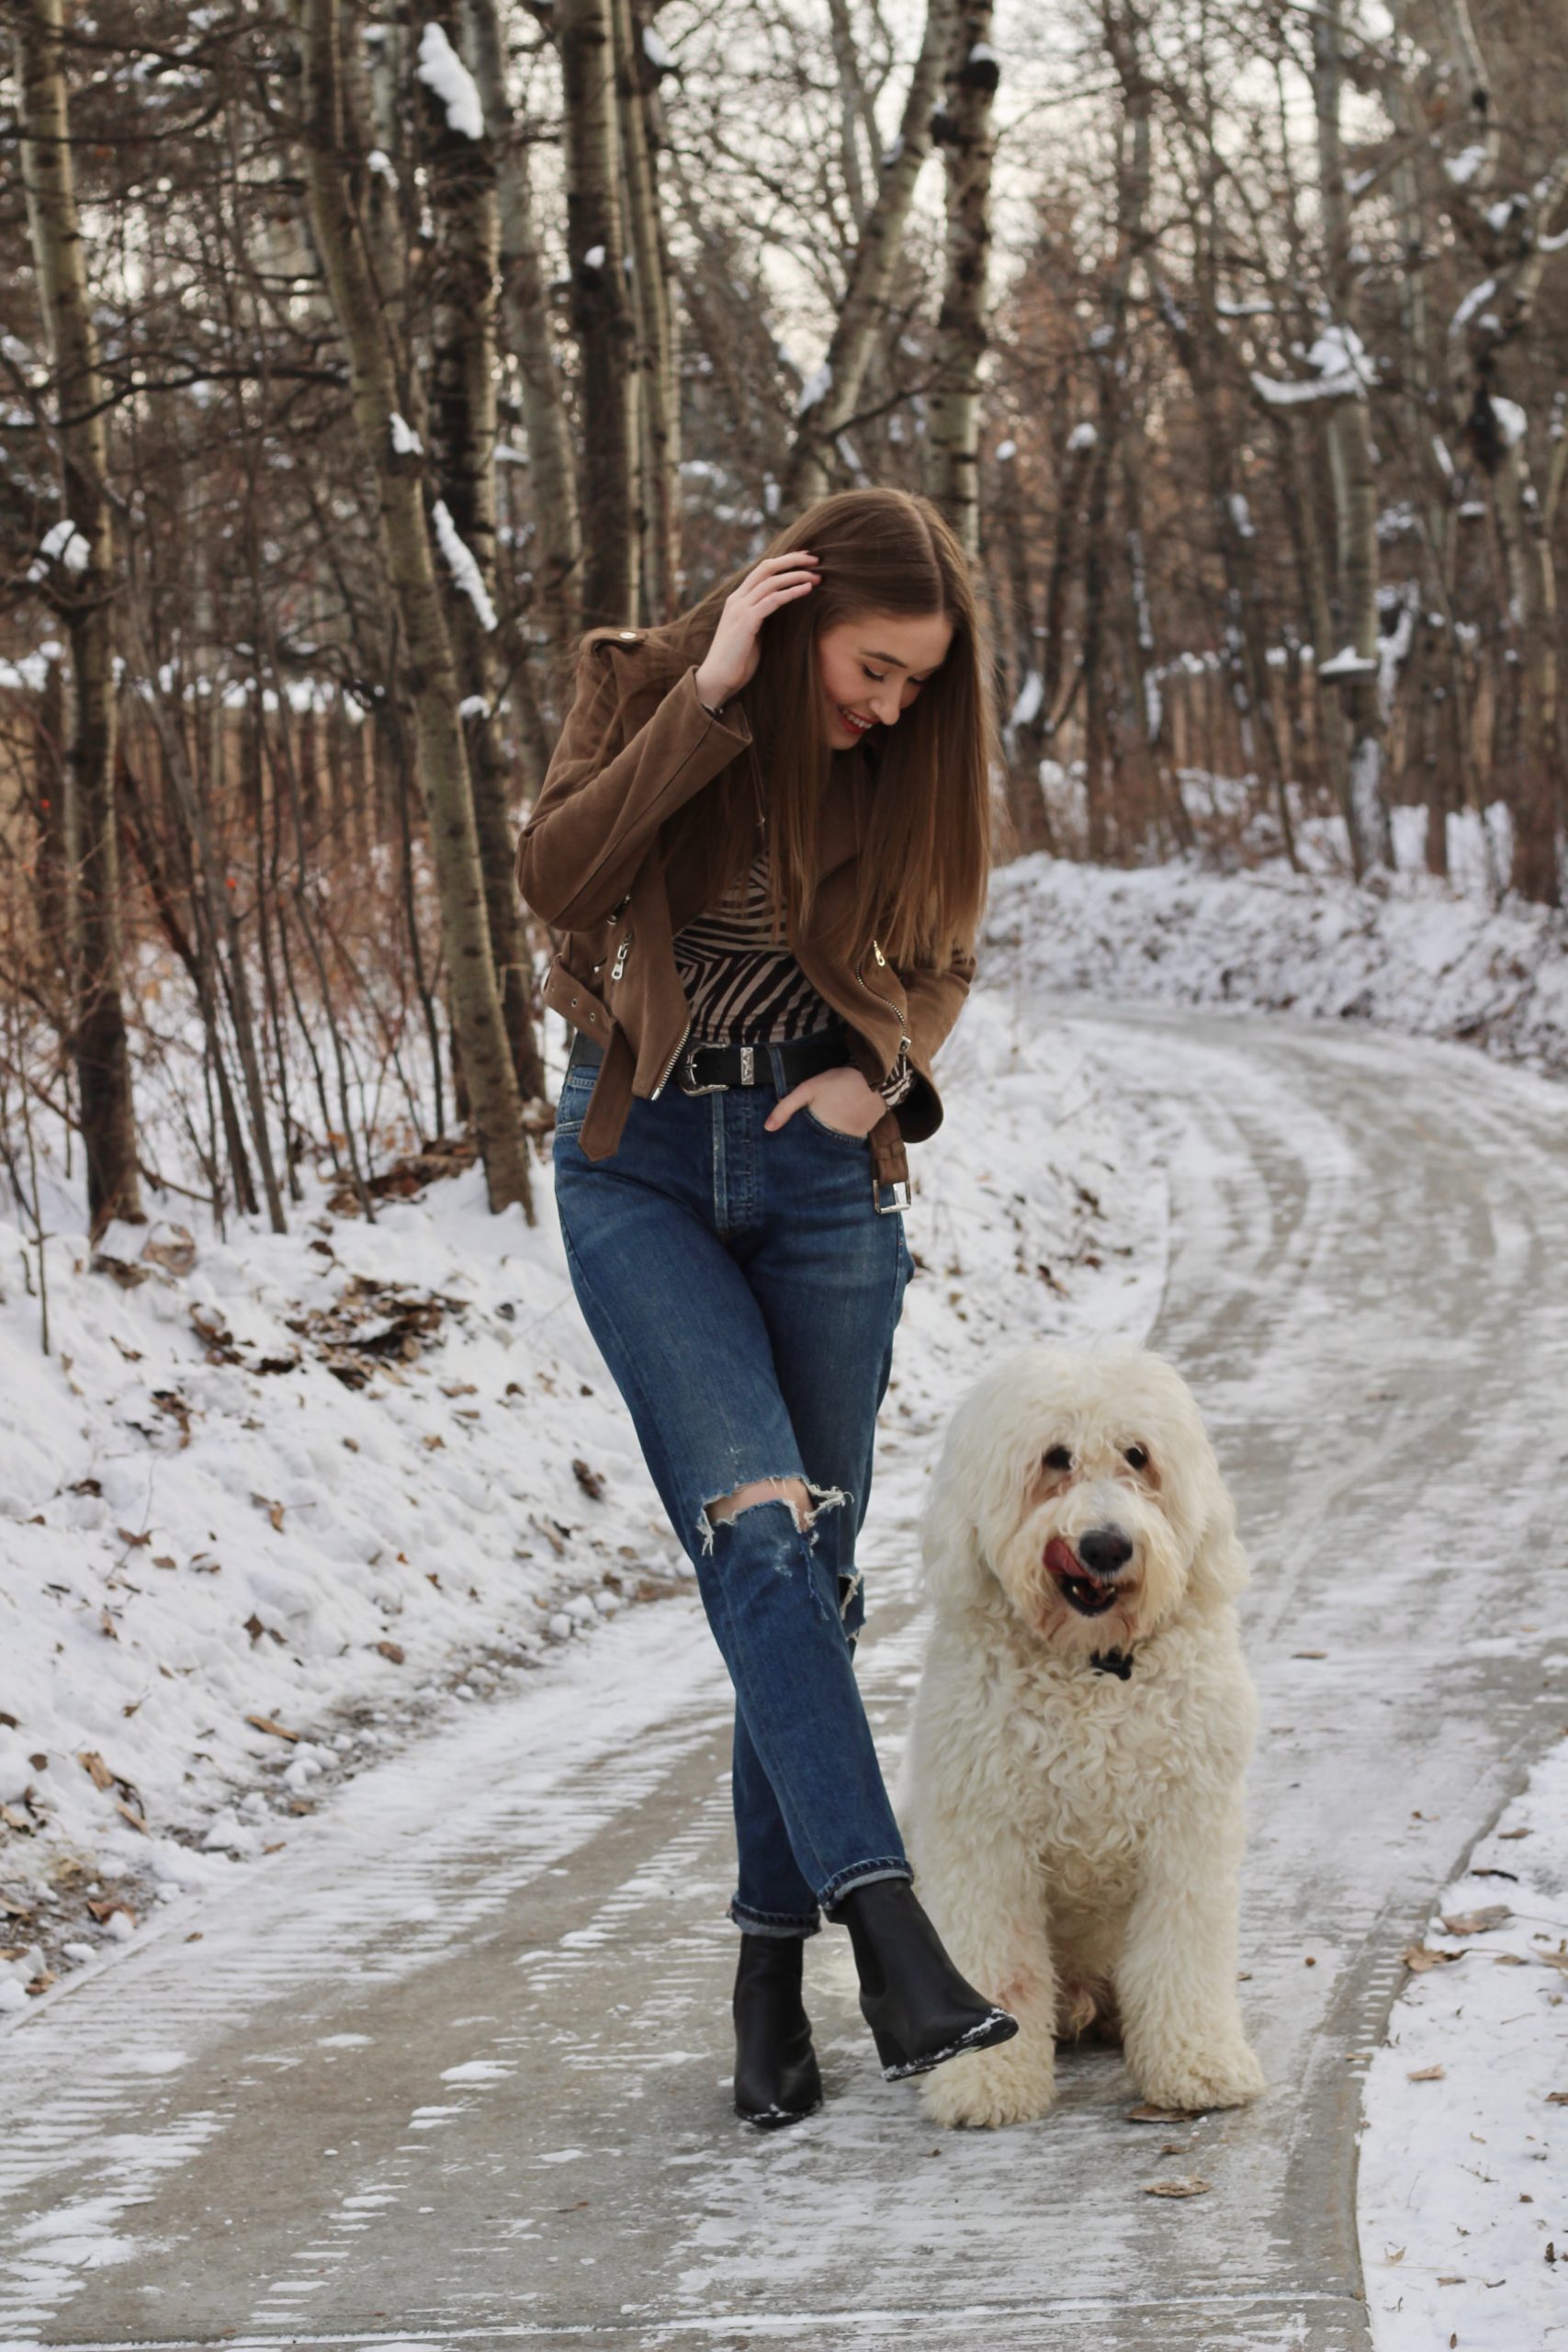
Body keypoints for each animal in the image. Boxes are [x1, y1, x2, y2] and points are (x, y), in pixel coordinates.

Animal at [907, 1345, 1259, 2135]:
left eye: (1138, 1455)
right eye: (1054, 1458)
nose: (1104, 1546)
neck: (1092, 1669)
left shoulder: (1184, 1838)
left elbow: (1180, 1958)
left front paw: (1196, 2065)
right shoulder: (986, 1839)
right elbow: (1000, 1962)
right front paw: (986, 2080)